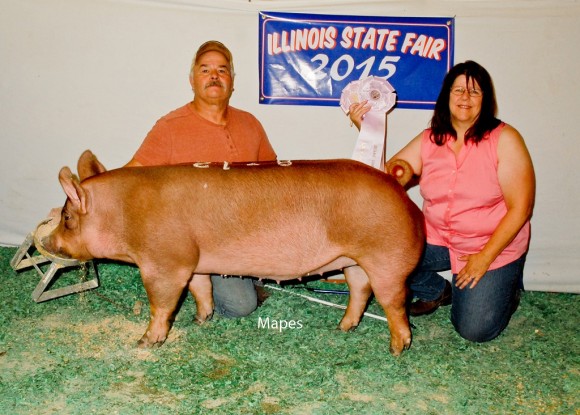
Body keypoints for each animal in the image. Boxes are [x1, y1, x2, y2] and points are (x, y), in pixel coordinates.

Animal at [43, 151, 424, 356]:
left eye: (67, 218)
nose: (48, 243)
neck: (124, 214)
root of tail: (399, 190)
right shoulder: (194, 262)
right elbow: (201, 289)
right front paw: (200, 320)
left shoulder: (165, 263)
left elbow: (161, 304)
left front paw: (145, 343)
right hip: (354, 261)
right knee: (361, 290)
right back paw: (342, 329)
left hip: (386, 258)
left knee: (393, 302)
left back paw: (396, 349)